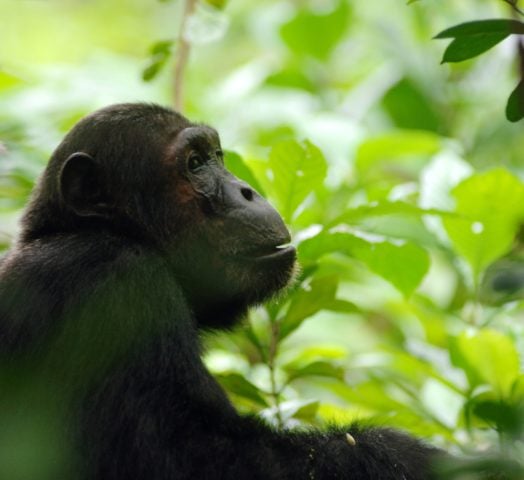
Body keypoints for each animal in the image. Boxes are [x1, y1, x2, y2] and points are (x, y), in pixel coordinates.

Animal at [0, 105, 442, 480]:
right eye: (194, 164)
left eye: (216, 155)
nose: (245, 189)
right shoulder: (122, 288)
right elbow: (192, 458)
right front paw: (402, 454)